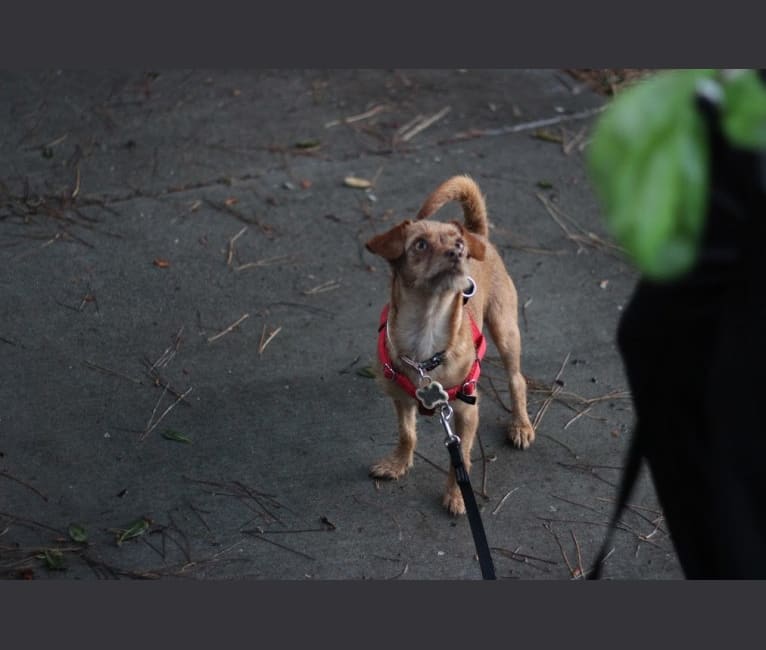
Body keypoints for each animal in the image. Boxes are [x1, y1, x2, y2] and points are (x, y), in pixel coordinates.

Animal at [366, 175, 536, 512]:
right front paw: (398, 463)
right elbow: (407, 434)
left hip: (505, 330)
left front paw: (457, 495)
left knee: (517, 379)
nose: (458, 252)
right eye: (420, 244)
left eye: (456, 244)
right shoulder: (401, 401)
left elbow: (462, 457)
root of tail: (476, 233)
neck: (426, 331)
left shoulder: (466, 413)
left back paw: (520, 425)